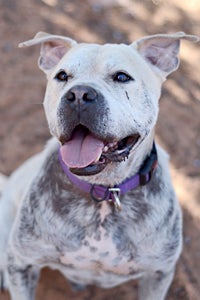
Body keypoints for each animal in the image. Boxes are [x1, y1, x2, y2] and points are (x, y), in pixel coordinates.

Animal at [0, 31, 198, 298]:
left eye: (122, 77)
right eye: (62, 76)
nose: (78, 95)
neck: (104, 192)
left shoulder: (158, 274)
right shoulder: (22, 262)